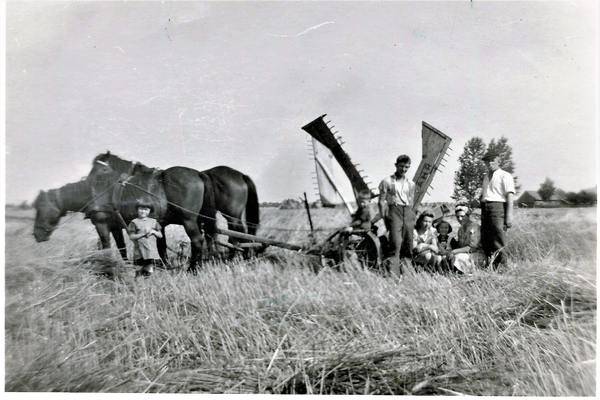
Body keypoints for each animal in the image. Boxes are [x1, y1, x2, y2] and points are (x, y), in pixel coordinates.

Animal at [85, 152, 260, 270]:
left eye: (102, 169)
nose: (88, 182)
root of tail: (199, 174)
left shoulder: (104, 224)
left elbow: (109, 247)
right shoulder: (153, 224)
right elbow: (158, 245)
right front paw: (161, 264)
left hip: (198, 219)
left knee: (204, 239)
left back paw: (195, 268)